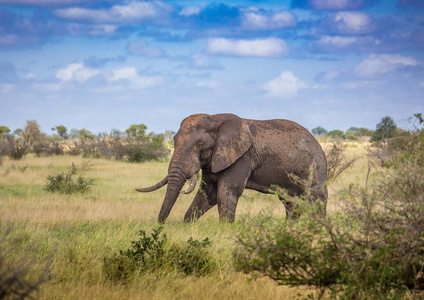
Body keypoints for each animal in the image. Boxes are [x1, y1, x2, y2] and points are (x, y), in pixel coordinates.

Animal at [137, 113, 328, 224]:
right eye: (174, 141)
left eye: (200, 145)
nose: (160, 225)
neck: (216, 119)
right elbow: (208, 193)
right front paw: (187, 225)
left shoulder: (242, 158)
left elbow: (227, 190)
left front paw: (225, 230)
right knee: (291, 202)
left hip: (315, 167)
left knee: (315, 198)